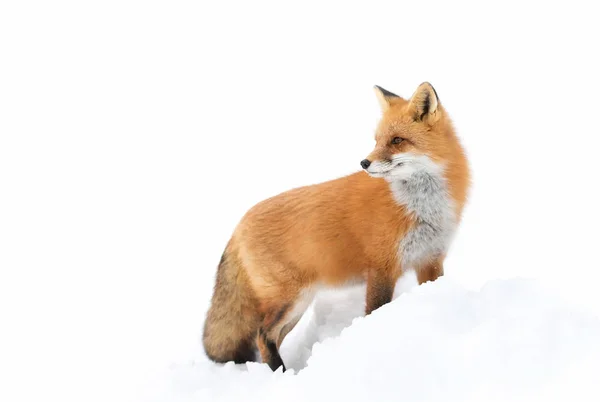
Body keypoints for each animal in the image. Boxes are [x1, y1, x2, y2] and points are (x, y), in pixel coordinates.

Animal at [204, 81, 472, 370]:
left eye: (397, 140)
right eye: (377, 140)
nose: (364, 163)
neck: (421, 207)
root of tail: (238, 225)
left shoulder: (430, 260)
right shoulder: (382, 266)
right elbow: (374, 310)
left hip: (297, 305)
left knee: (269, 338)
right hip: (291, 299)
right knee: (263, 336)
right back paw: (281, 373)